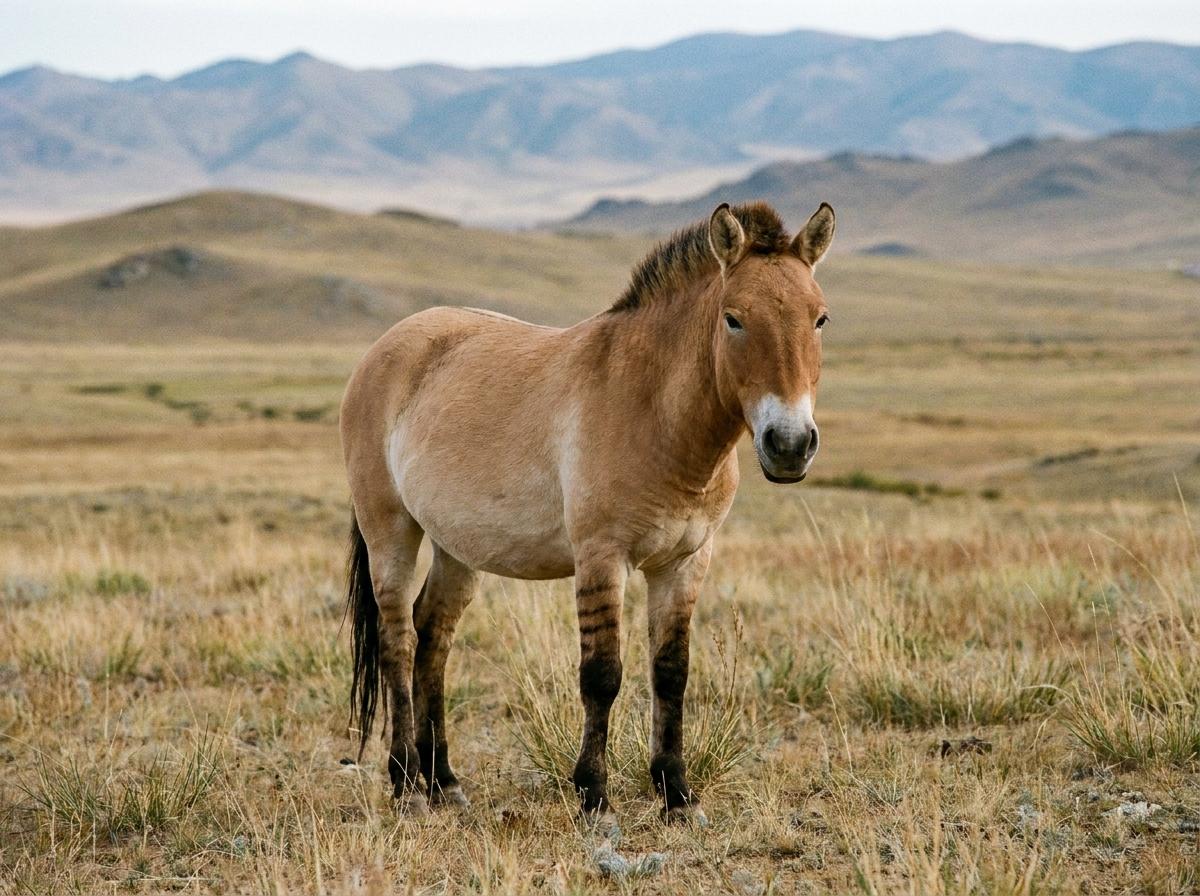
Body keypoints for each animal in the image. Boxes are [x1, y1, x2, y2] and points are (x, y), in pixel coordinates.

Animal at [340, 200, 835, 824]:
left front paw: (676, 793)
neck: (655, 412)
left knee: (433, 637)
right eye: (733, 319)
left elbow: (671, 674)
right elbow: (602, 676)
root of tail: (387, 344)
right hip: (391, 531)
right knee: (398, 641)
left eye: (820, 319)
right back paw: (405, 782)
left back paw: (443, 780)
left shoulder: (686, 562)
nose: (789, 445)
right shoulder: (603, 558)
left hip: (457, 545)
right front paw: (594, 795)